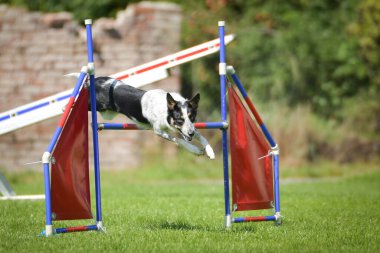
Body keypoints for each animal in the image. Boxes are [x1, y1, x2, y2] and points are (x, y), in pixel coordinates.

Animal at [87, 76, 215, 159]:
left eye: (192, 118)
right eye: (179, 120)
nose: (190, 133)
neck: (165, 110)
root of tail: (95, 80)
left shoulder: (192, 127)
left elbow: (202, 137)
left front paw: (210, 151)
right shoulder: (158, 131)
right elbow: (178, 139)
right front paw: (195, 150)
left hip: (107, 114)